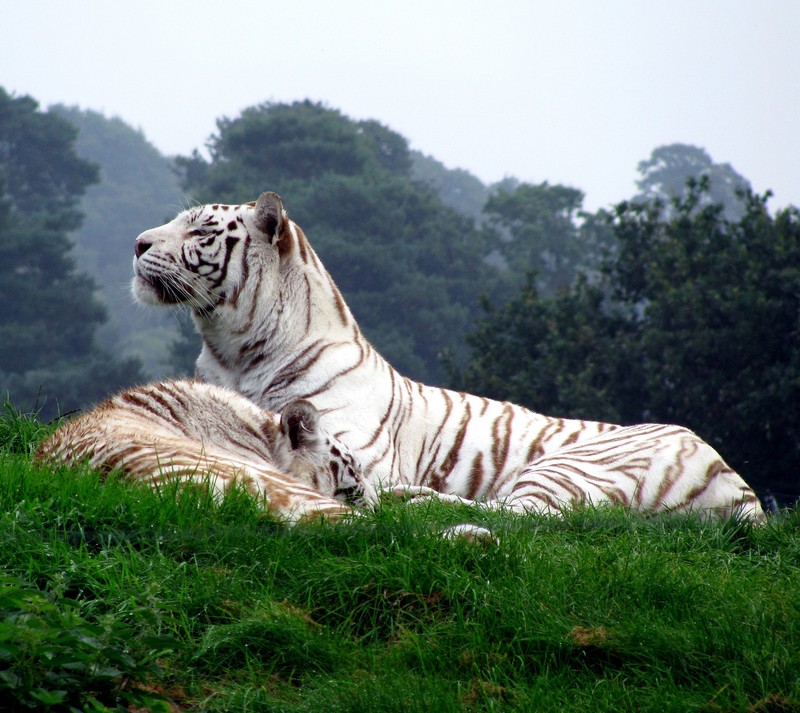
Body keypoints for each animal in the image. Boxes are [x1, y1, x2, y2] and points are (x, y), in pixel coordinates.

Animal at [131, 191, 768, 524]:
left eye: (202, 230)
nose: (136, 243)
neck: (233, 350)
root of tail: (739, 486)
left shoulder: (354, 449)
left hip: (574, 464)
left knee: (527, 515)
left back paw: (417, 500)